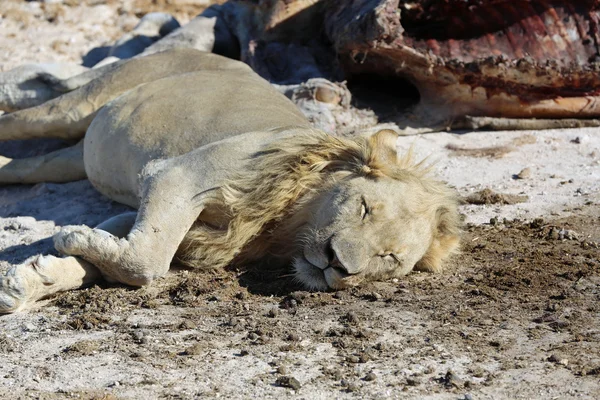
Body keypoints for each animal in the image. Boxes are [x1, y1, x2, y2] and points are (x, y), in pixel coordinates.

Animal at [0, 49, 460, 312]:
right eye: (364, 208)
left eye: (389, 258)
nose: (337, 263)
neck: (284, 226)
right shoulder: (178, 175)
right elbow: (147, 262)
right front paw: (66, 242)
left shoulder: (170, 222)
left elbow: (117, 258)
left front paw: (33, 279)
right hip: (77, 105)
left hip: (73, 157)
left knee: (24, 166)